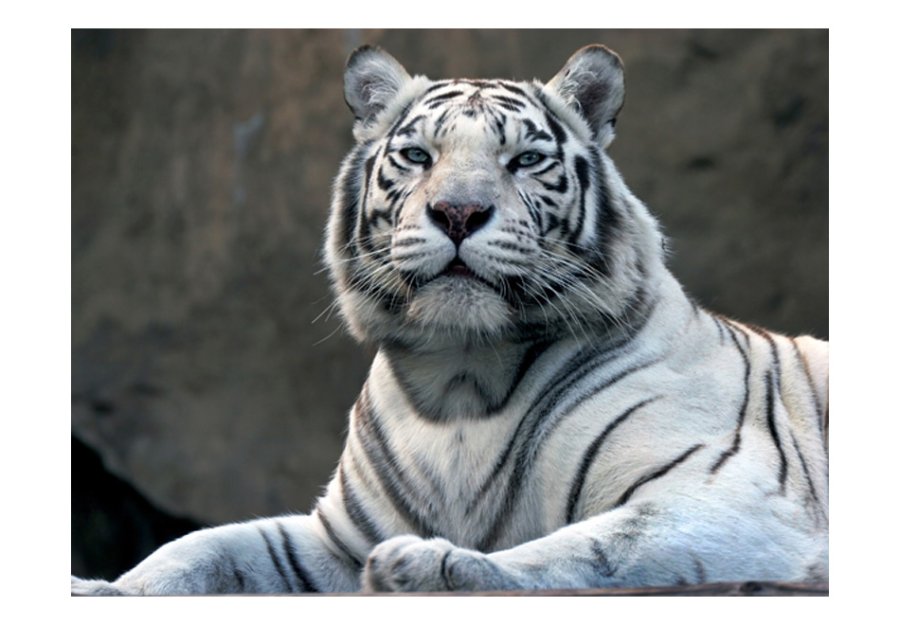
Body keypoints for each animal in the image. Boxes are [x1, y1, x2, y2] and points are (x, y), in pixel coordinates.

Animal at [71, 43, 828, 595]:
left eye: (525, 159)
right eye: (417, 155)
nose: (459, 212)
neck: (460, 378)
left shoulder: (729, 497)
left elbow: (589, 549)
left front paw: (432, 566)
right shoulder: (335, 538)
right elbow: (205, 546)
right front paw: (107, 589)